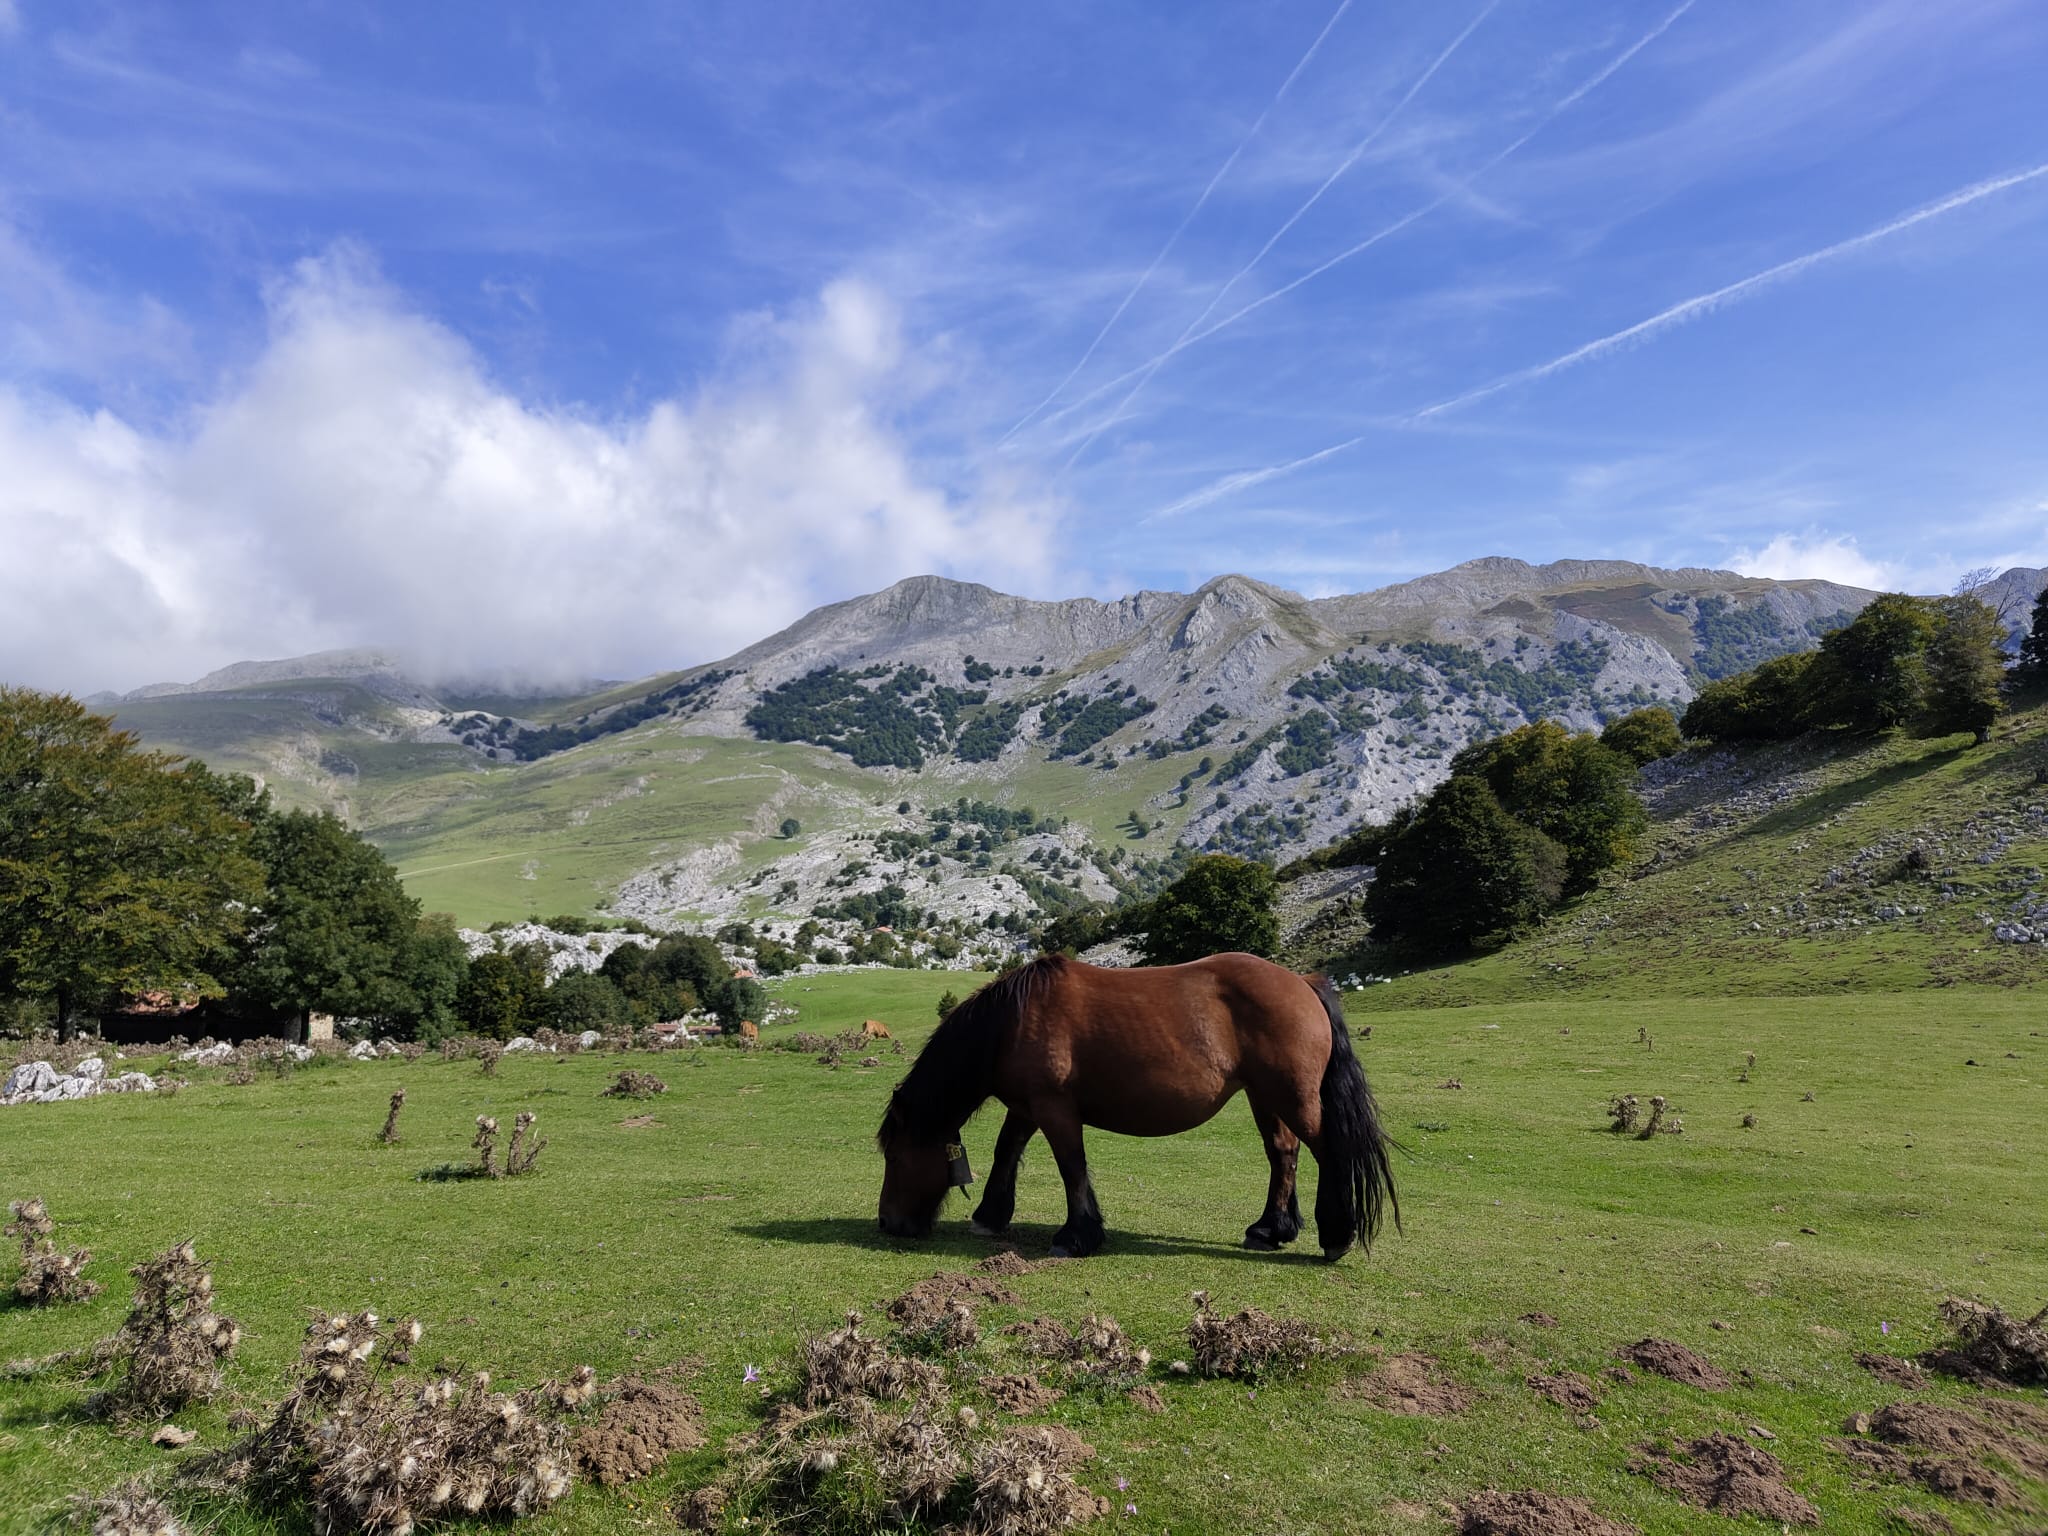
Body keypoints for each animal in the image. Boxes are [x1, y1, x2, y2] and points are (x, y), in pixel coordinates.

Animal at [872, 962, 1400, 1261]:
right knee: (1282, 1154)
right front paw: (990, 1214)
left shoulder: (1054, 1107)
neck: (1012, 1021)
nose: (888, 1223)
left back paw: (1336, 1233)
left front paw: (1077, 1235)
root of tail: (1302, 983)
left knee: (1327, 1151)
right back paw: (1272, 1228)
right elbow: (1007, 1152)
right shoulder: (1026, 1107)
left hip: (1293, 1097)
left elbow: (1072, 1167)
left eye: (894, 1156)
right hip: (1266, 1097)